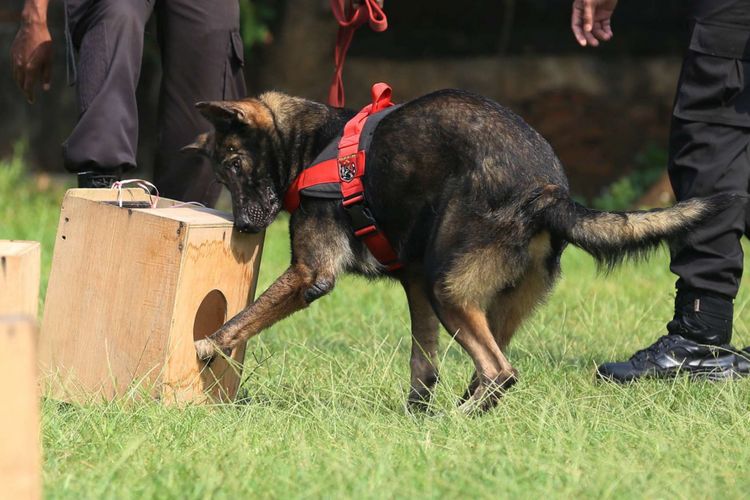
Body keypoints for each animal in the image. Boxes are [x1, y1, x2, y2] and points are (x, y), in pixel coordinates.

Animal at [188, 91, 728, 414]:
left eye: (234, 165)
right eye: (222, 172)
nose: (243, 225)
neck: (310, 144)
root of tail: (546, 192)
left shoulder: (309, 273)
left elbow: (244, 318)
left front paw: (209, 343)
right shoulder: (412, 282)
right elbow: (422, 361)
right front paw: (414, 412)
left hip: (448, 290)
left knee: (500, 371)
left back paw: (460, 418)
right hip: (486, 298)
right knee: (492, 365)